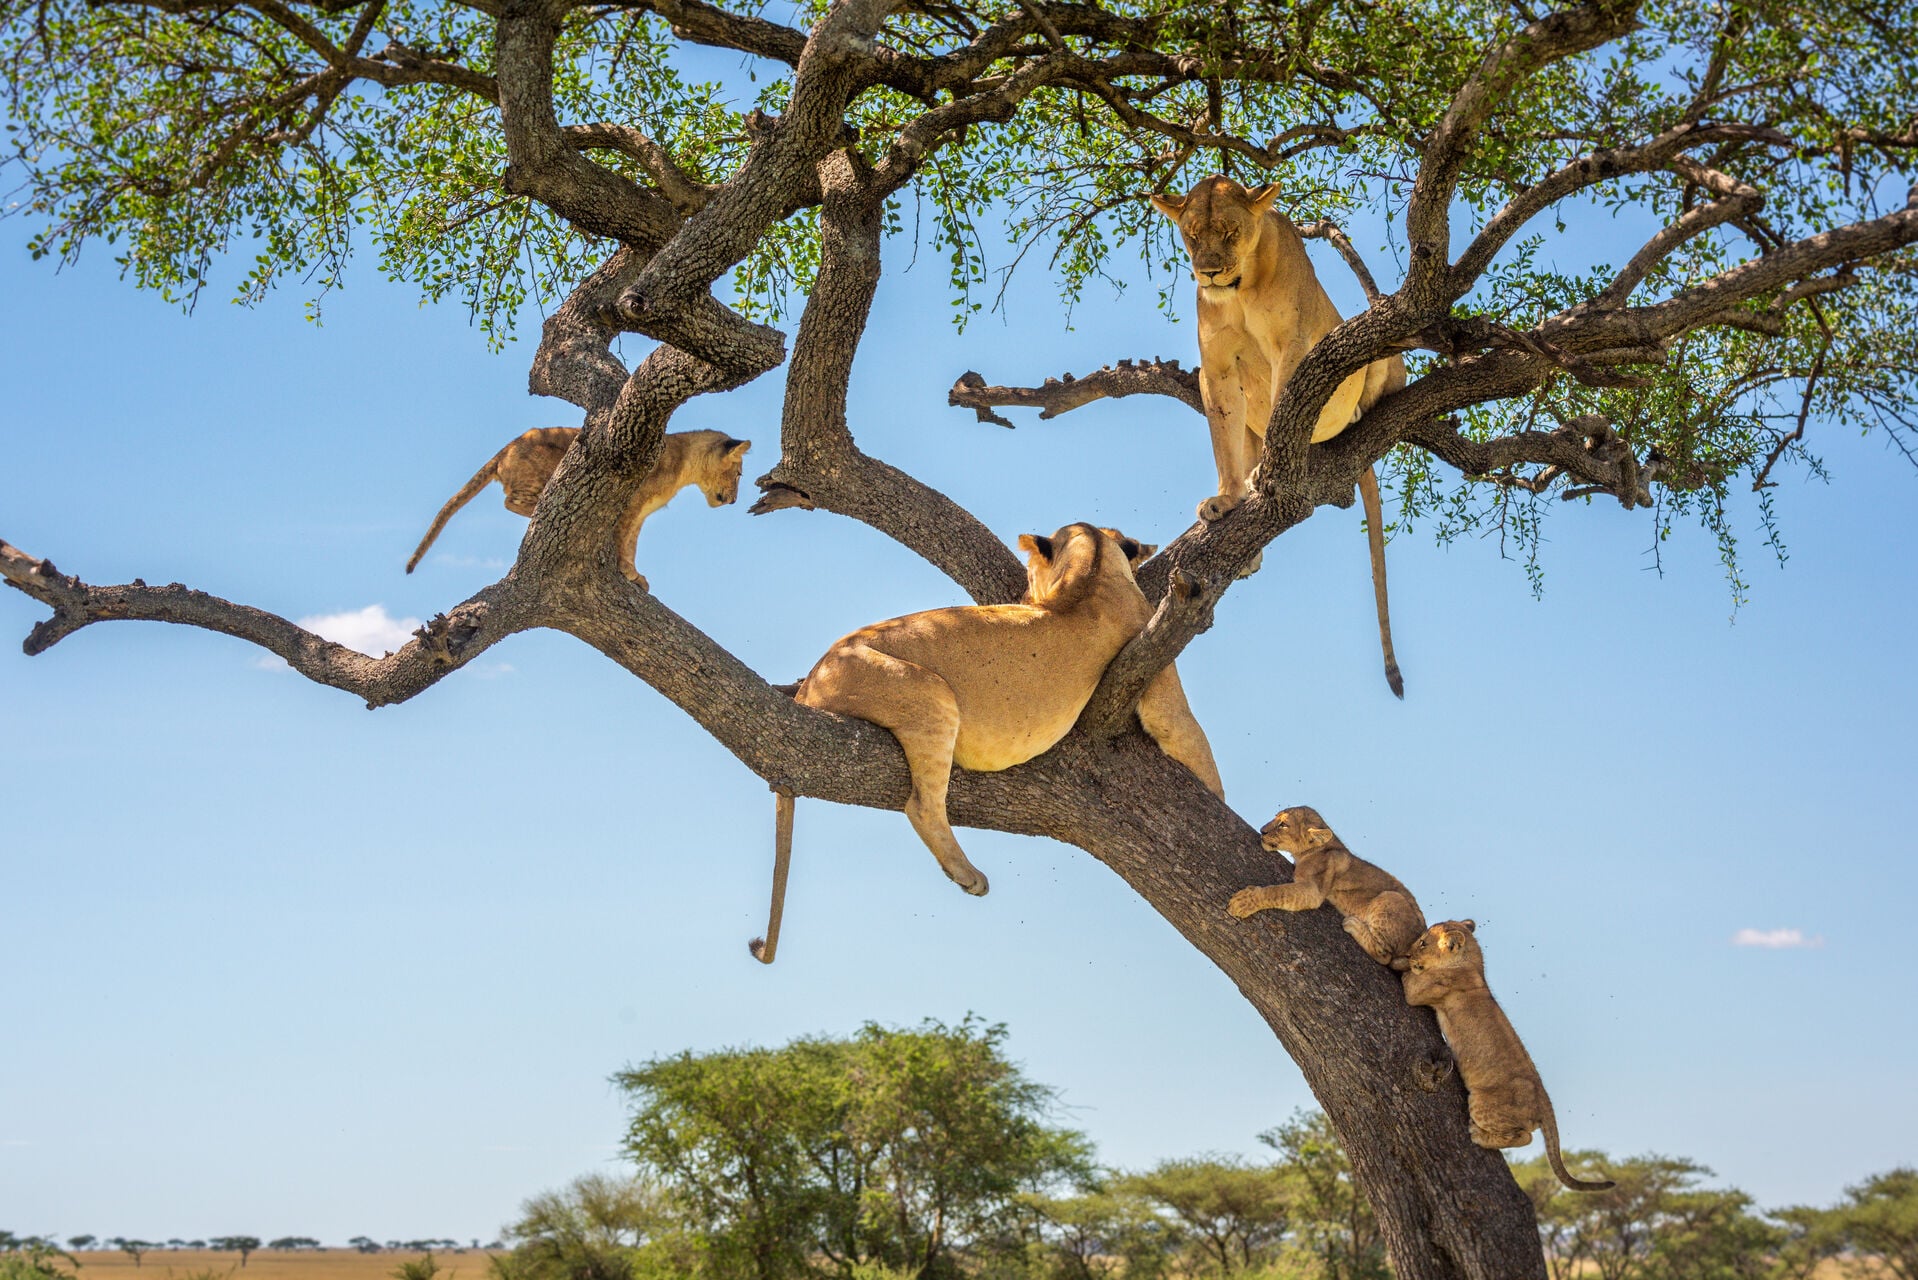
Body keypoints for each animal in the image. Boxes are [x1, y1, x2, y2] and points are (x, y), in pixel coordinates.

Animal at [405, 427, 751, 589]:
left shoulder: (640, 514)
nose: (734, 500)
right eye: (739, 474)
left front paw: (636, 576)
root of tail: (507, 448)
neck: (684, 465)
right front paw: (627, 572)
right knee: (511, 500)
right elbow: (623, 542)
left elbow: (632, 544)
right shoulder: (630, 504)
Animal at [749, 524, 1223, 963]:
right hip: (930, 692)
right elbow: (1193, 741)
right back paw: (968, 875)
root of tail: (811, 684)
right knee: (922, 805)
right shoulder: (1158, 672)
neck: (1092, 568)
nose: (1023, 591)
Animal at [1151, 175, 1407, 697]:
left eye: (1231, 231)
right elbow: (1223, 441)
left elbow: (1281, 411)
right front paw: (1227, 497)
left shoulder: (1292, 346)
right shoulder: (1215, 368)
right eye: (1191, 234)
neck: (1240, 289)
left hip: (1385, 354)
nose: (1209, 273)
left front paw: (1266, 473)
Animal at [1227, 805, 1426, 970]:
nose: (1262, 830)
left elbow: (1278, 891)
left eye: (1283, 825)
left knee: (1385, 956)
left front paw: (1244, 902)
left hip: (1389, 897)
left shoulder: (1314, 890)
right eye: (1275, 817)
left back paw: (1353, 925)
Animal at [1402, 920, 1616, 1192]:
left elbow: (1407, 979)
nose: (1408, 954)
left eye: (1422, 943)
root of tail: (1544, 1099)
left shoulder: (1420, 989)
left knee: (1524, 1136)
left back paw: (1479, 1135)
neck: (1473, 963)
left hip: (1482, 1103)